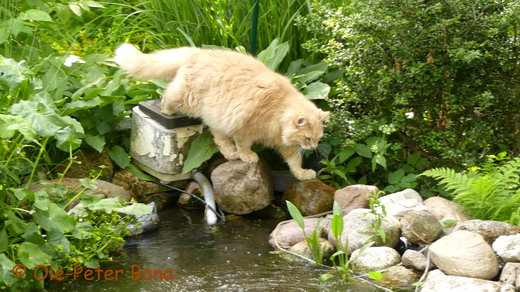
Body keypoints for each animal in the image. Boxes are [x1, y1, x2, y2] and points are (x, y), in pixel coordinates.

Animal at [115, 44, 330, 180]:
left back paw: (230, 154)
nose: (313, 147)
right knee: (168, 94)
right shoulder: (244, 129)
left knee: (219, 139)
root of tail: (199, 52)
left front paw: (302, 174)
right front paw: (248, 156)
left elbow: (294, 162)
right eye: (308, 138)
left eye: (318, 139)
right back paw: (166, 111)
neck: (278, 110)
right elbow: (244, 144)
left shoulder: (286, 145)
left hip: (215, 116)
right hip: (187, 99)